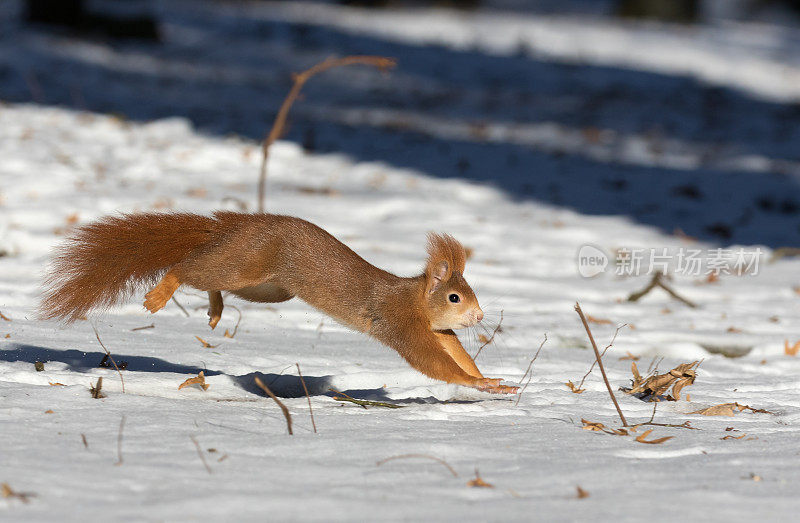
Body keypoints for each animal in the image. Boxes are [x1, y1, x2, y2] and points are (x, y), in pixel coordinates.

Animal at [42, 212, 520, 392]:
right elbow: (433, 362)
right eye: (455, 296)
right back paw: (163, 292)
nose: (479, 314)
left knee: (212, 279)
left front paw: (489, 379)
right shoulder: (399, 322)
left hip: (269, 288)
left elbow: (456, 353)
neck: (418, 300)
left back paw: (215, 309)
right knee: (188, 267)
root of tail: (240, 228)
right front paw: (480, 385)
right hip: (248, 266)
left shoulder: (439, 330)